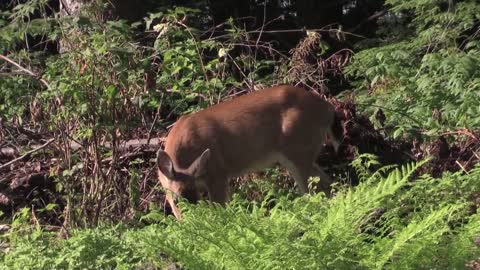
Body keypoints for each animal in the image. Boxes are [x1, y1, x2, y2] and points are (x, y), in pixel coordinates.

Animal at [156, 85, 344, 219]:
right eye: (178, 199)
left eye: (198, 197)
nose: (195, 221)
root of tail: (328, 109)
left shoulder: (218, 173)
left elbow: (220, 208)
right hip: (299, 154)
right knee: (325, 181)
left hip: (299, 149)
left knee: (313, 188)